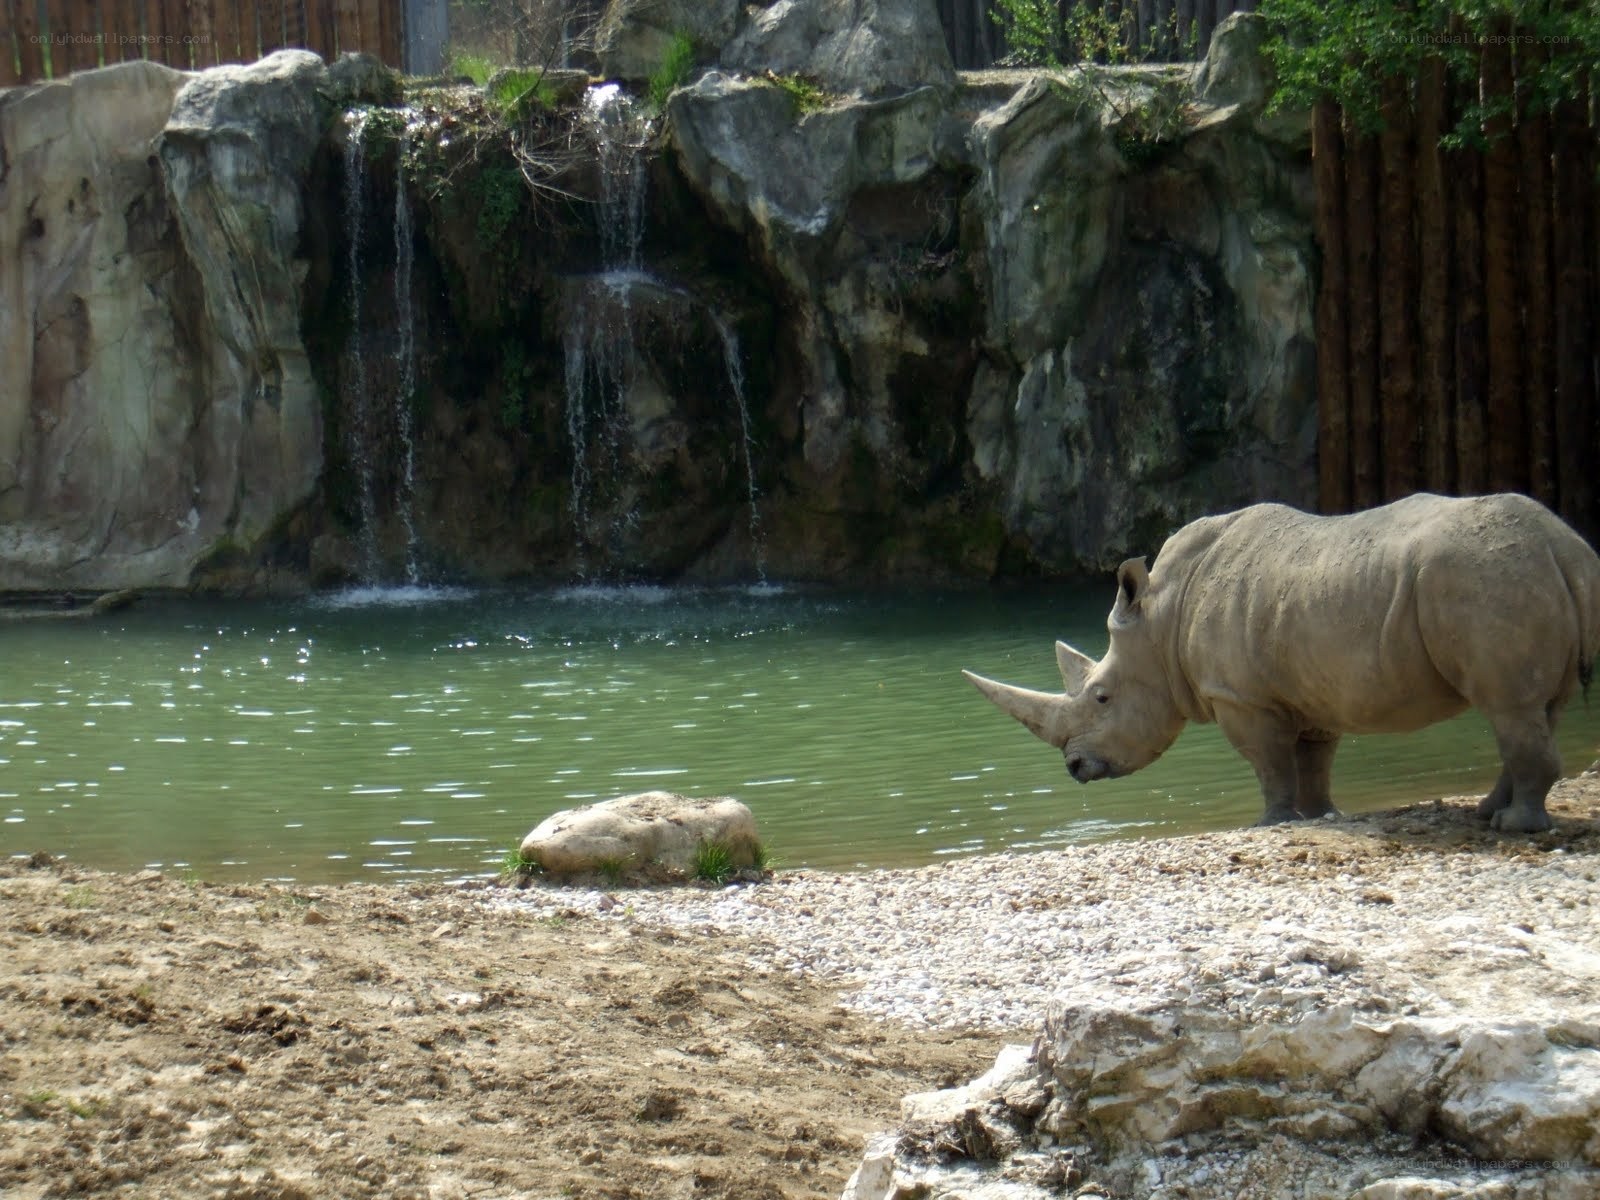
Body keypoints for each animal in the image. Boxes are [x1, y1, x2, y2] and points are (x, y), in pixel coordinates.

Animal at [964, 493, 1600, 833]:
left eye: (1101, 696)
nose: (1073, 767)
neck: (1161, 620)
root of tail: (1563, 545)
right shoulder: (1310, 686)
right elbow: (1313, 757)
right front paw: (1319, 816)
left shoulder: (1239, 695)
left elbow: (1268, 760)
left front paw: (1268, 824)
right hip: (1510, 575)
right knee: (1535, 709)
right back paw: (1489, 815)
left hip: (1484, 578)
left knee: (1509, 705)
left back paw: (1514, 828)